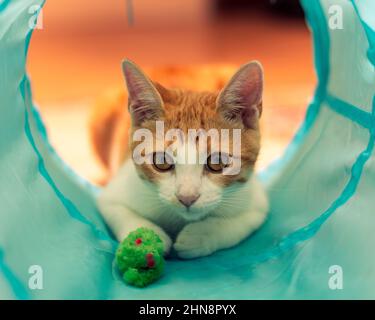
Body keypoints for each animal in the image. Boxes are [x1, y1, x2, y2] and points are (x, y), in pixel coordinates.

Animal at [94, 60, 270, 260]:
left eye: (217, 162)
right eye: (161, 161)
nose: (187, 198)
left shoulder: (255, 202)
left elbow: (240, 223)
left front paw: (200, 236)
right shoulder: (113, 195)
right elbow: (119, 212)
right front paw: (148, 238)